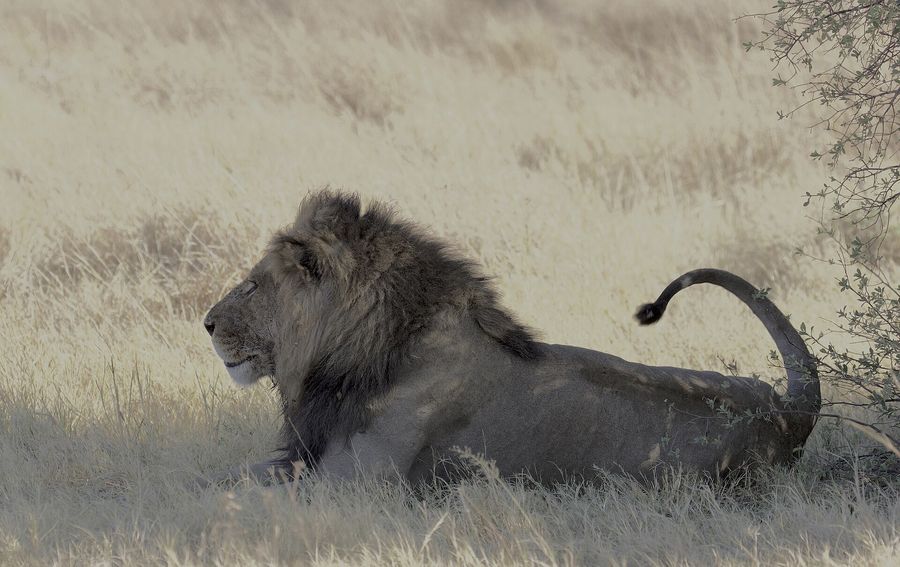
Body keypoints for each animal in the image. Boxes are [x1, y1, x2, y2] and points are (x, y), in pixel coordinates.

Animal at [201, 190, 820, 486]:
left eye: (252, 285)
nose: (205, 323)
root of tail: (785, 415)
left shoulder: (357, 481)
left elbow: (242, 493)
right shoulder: (304, 458)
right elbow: (220, 478)